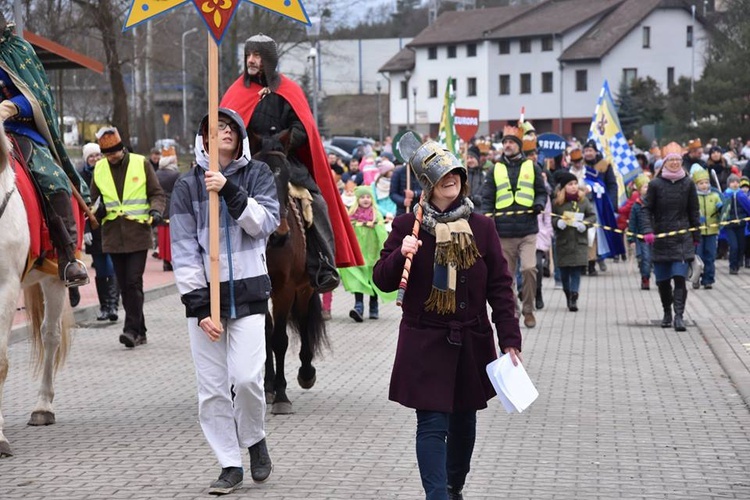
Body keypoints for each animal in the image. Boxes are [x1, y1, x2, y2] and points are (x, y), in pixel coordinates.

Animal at [251, 132, 328, 414]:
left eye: (285, 179)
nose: (279, 235)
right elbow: (266, 336)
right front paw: (270, 388)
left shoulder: (285, 289)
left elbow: (280, 339)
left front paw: (282, 395)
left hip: (304, 287)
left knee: (304, 321)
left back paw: (306, 373)